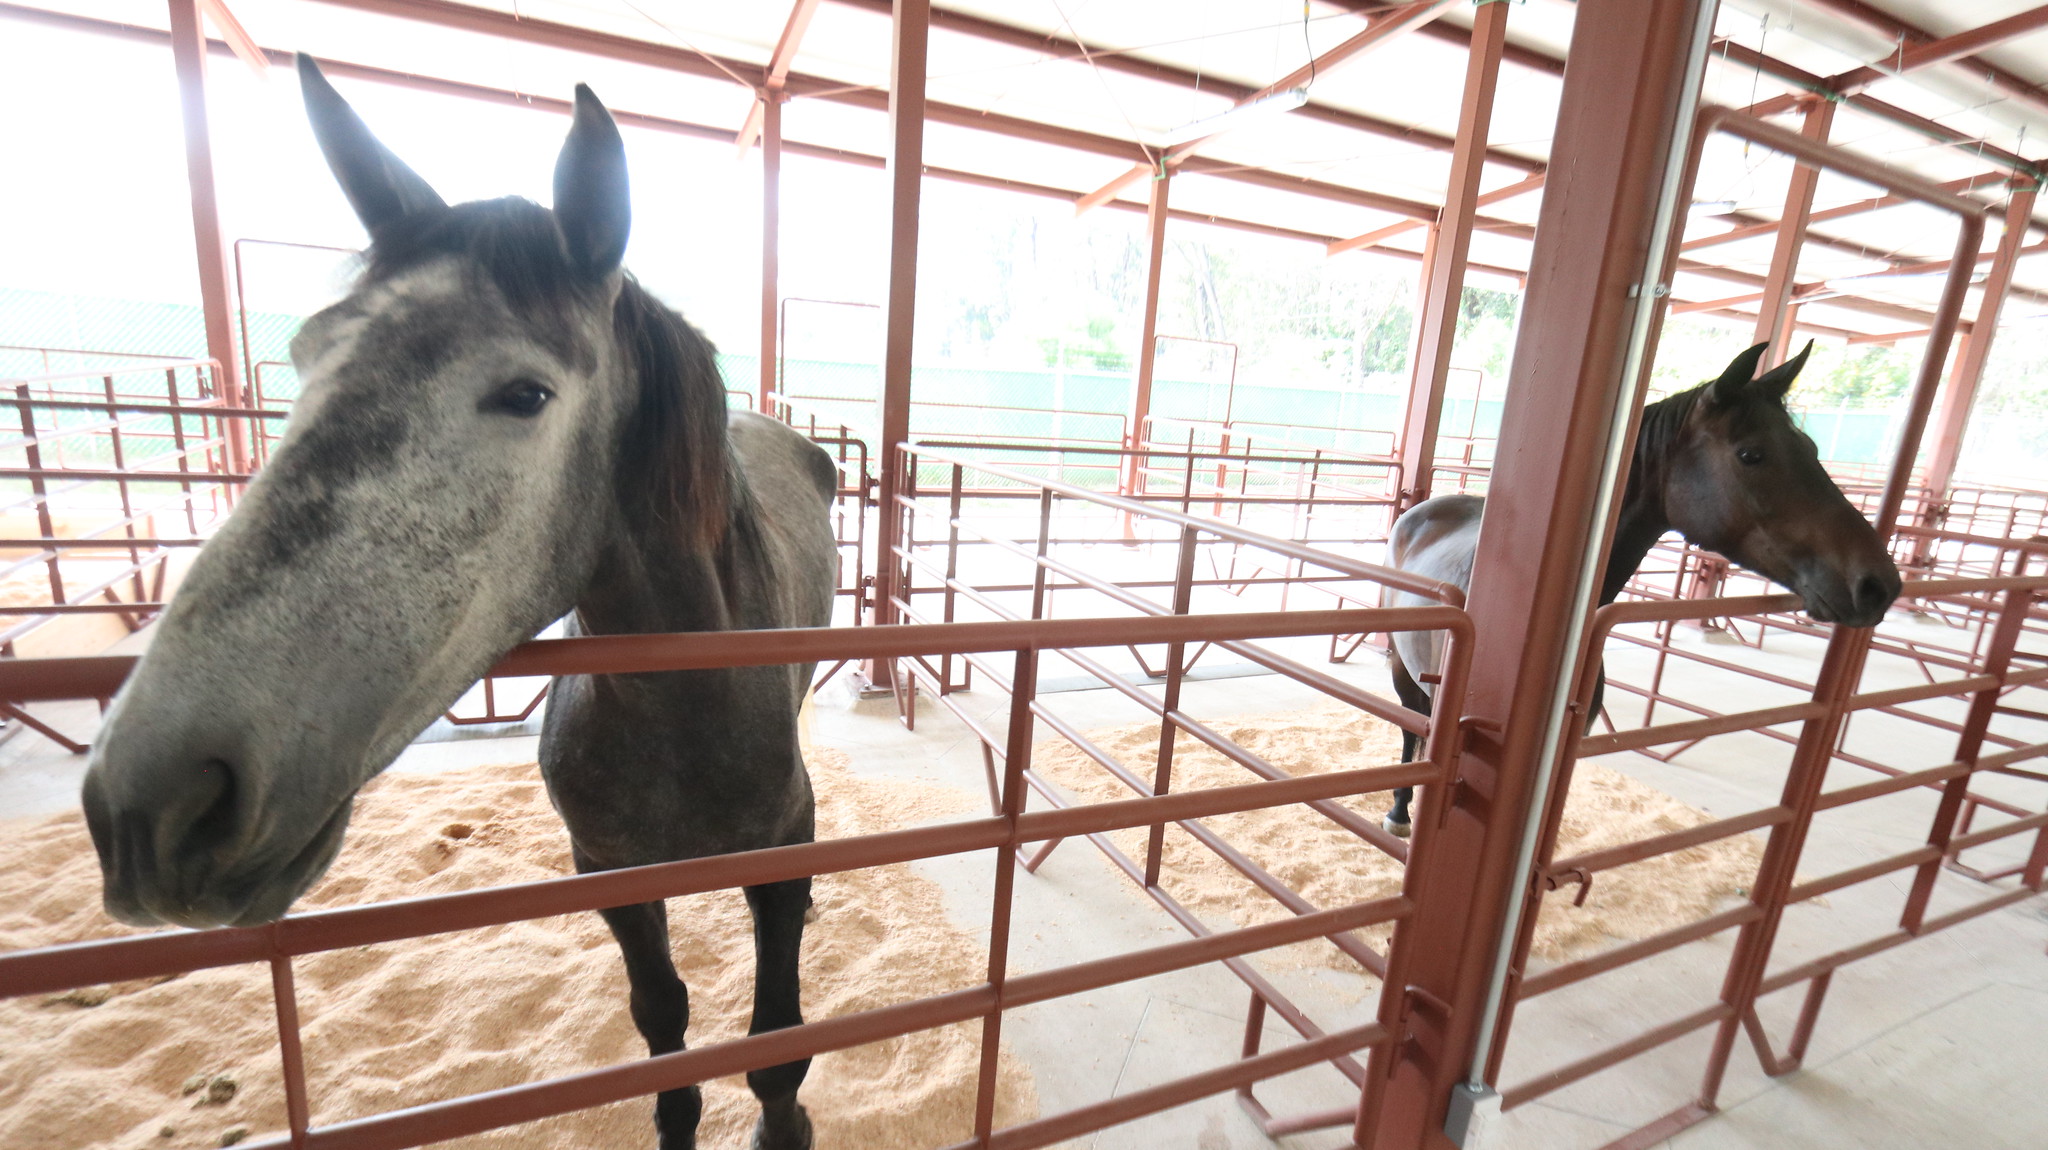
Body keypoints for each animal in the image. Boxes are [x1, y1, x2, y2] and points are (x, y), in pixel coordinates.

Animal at [75, 60, 835, 1145]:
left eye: (525, 393)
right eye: (307, 358)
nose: (156, 802)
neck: (686, 704)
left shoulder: (779, 854)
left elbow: (774, 1043)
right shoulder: (609, 870)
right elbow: (665, 1022)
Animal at [1376, 339, 1900, 830]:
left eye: (1811, 450)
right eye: (1752, 454)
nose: (1879, 584)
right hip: (1403, 669)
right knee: (1410, 728)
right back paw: (1400, 812)